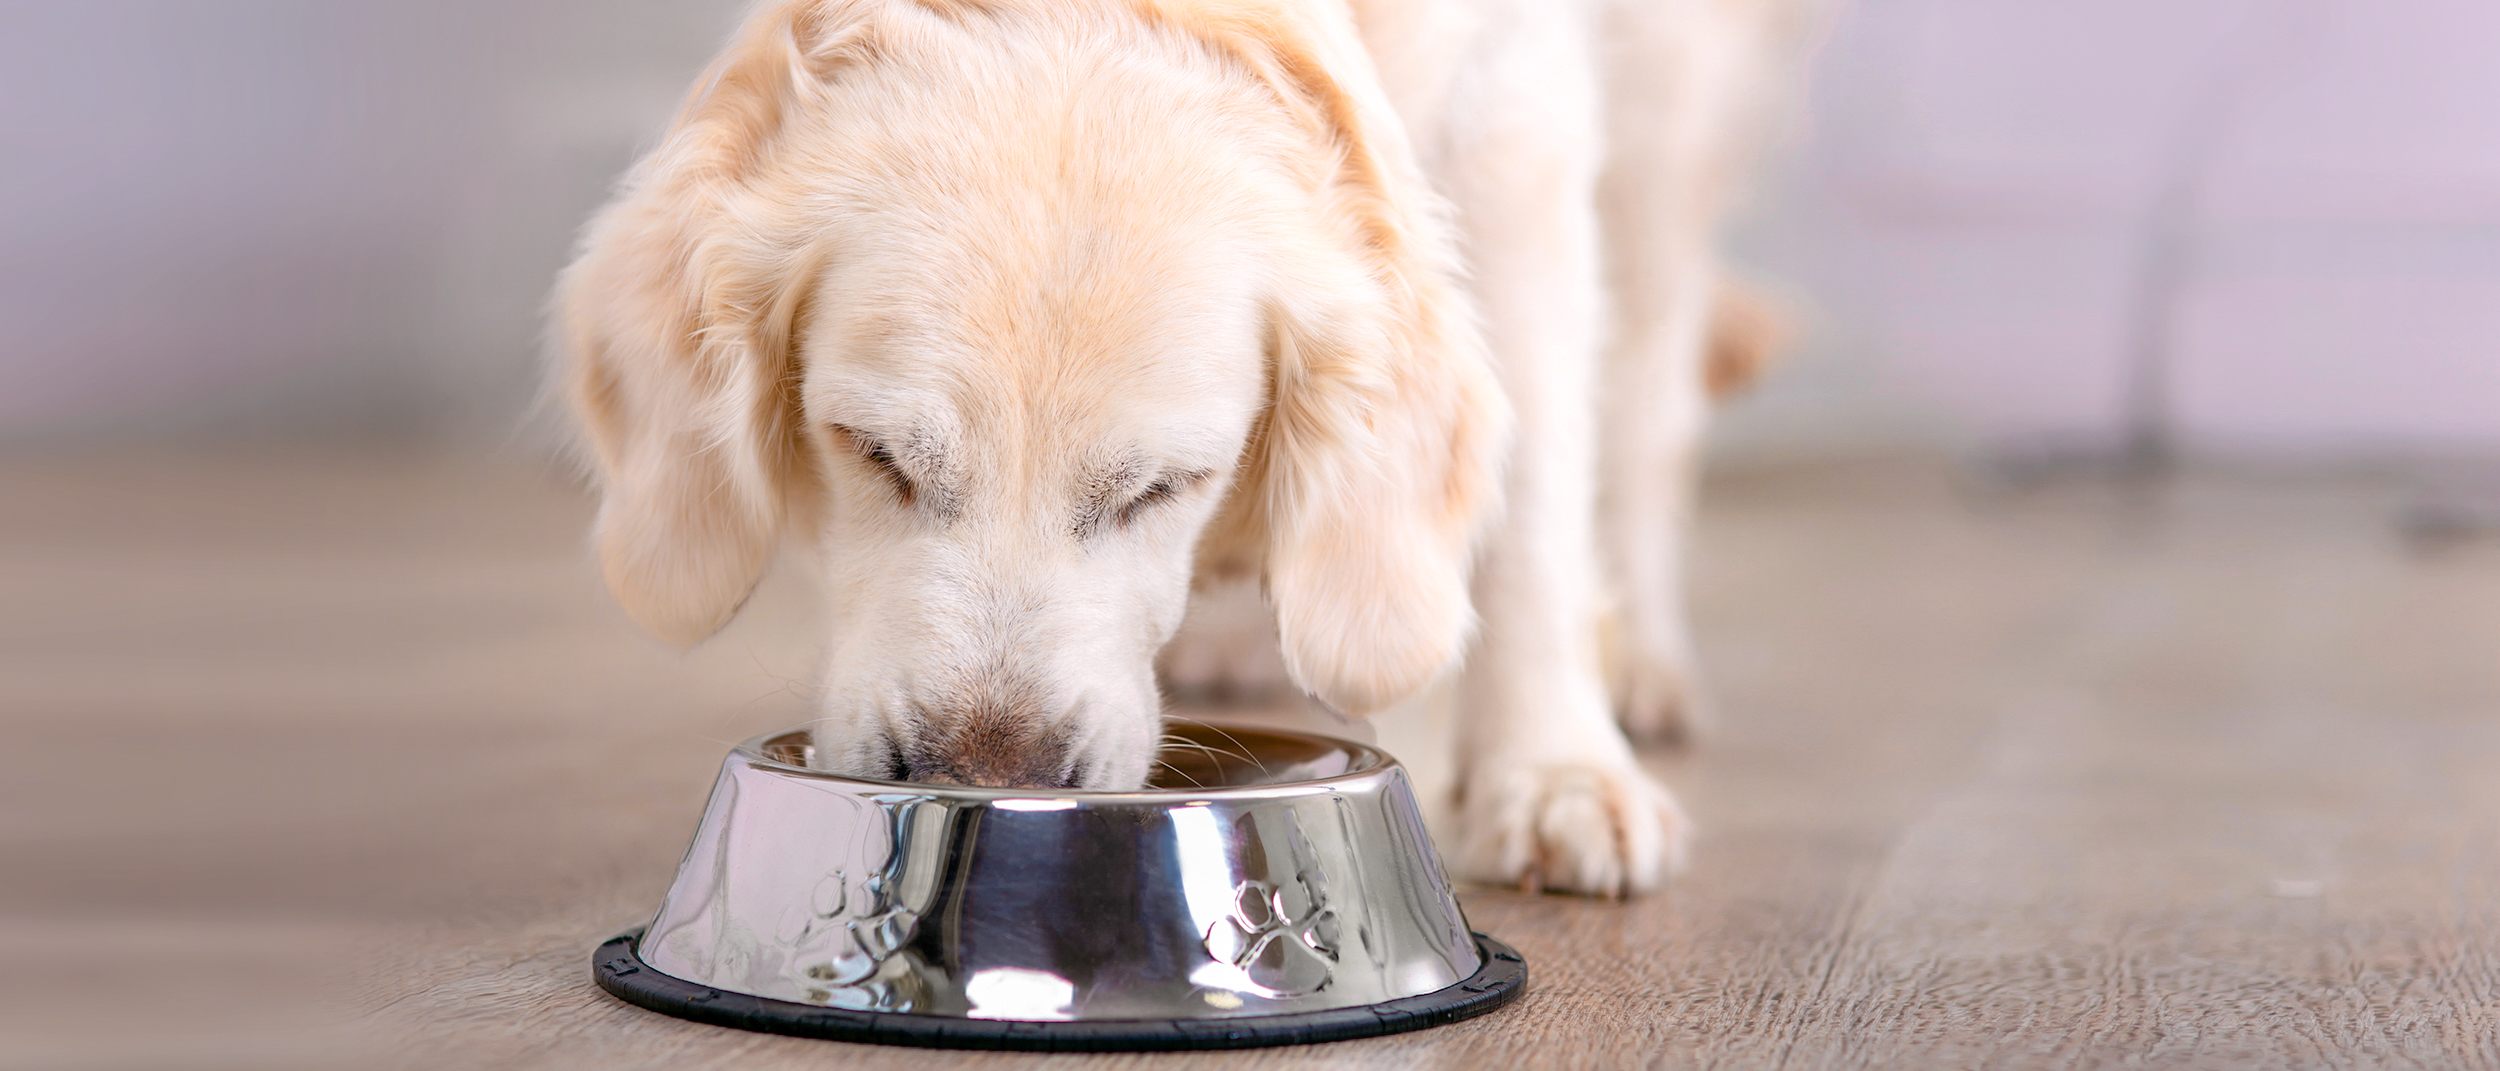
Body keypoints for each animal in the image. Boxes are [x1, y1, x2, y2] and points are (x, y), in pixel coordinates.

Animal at [562, 0, 1800, 895]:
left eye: (1164, 487)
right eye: (872, 454)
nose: (988, 783)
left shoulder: (1513, 120)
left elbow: (1536, 493)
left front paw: (1551, 773)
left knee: (1646, 398)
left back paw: (1638, 664)